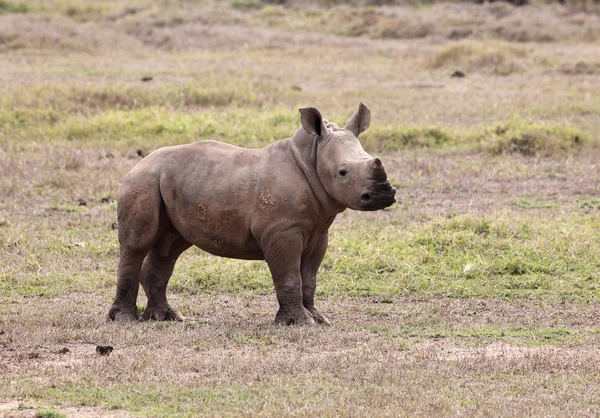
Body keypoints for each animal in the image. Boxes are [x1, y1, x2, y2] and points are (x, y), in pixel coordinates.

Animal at [108, 103, 396, 324]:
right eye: (343, 173)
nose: (382, 195)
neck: (311, 158)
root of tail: (138, 163)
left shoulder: (319, 231)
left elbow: (310, 278)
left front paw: (318, 318)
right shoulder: (281, 230)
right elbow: (290, 276)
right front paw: (300, 322)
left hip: (169, 184)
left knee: (169, 247)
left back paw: (166, 318)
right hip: (143, 181)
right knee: (137, 244)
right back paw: (126, 320)